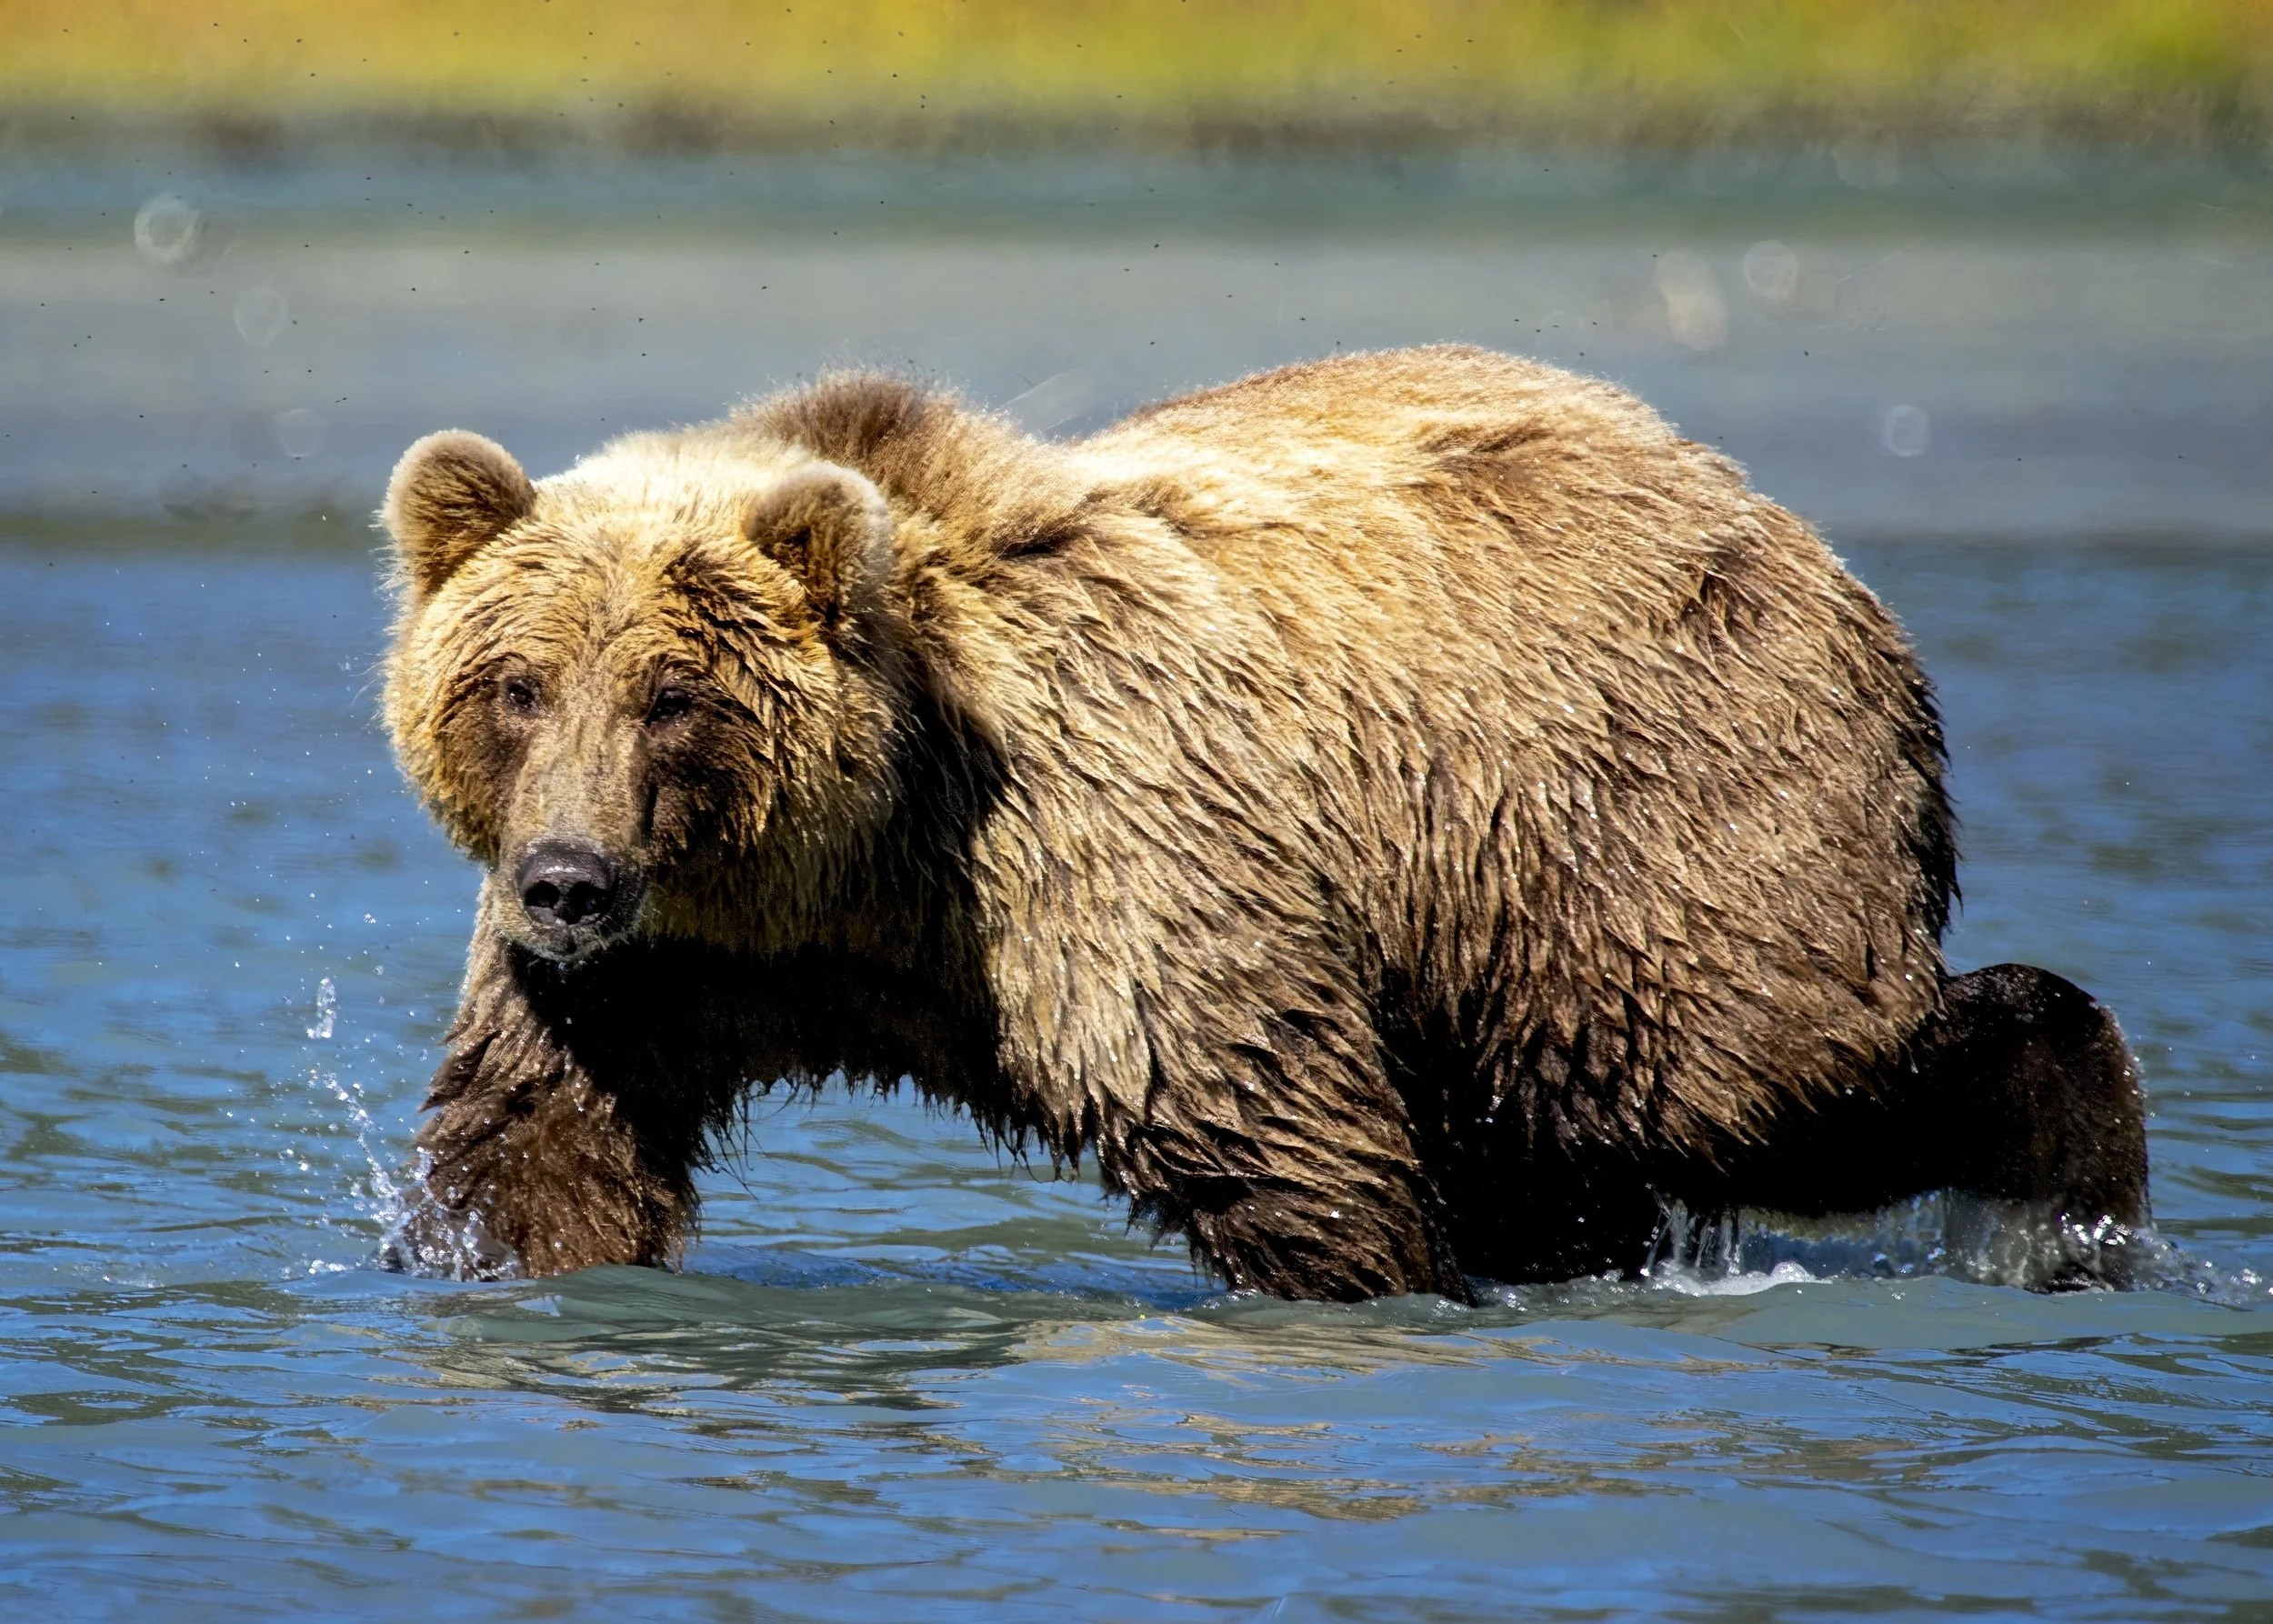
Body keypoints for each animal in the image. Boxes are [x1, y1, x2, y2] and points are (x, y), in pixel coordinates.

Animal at [378, 344, 2148, 1299]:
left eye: (674, 696)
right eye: (517, 685)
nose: (568, 881)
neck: (841, 866)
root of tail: (1801, 539)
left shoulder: (1094, 833)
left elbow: (1263, 1116)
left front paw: (1367, 1279)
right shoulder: (669, 970)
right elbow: (544, 1136)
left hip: (1634, 812)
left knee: (1748, 1075)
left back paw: (2066, 1197)